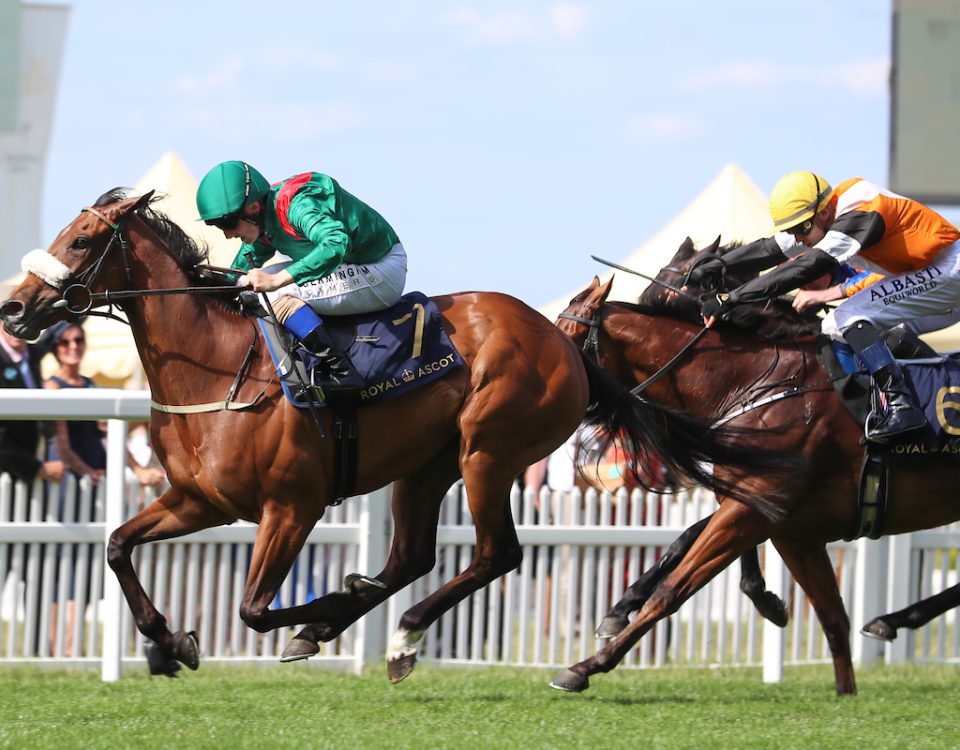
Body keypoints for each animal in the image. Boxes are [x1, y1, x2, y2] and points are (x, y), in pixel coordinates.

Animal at [0, 192, 788, 680]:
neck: (219, 367)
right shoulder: (201, 502)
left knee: (495, 555)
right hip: (426, 466)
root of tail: (564, 341)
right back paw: (369, 624)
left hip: (487, 451)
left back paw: (391, 631)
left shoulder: (292, 506)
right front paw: (168, 643)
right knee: (412, 556)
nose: (14, 307)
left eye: (81, 238)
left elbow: (253, 608)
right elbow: (116, 546)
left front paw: (317, 613)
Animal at [552, 242, 960, 700]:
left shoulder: (755, 505)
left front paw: (585, 666)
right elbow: (828, 615)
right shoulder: (773, 513)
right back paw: (889, 621)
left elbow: (673, 588)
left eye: (563, 334)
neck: (759, 380)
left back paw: (891, 620)